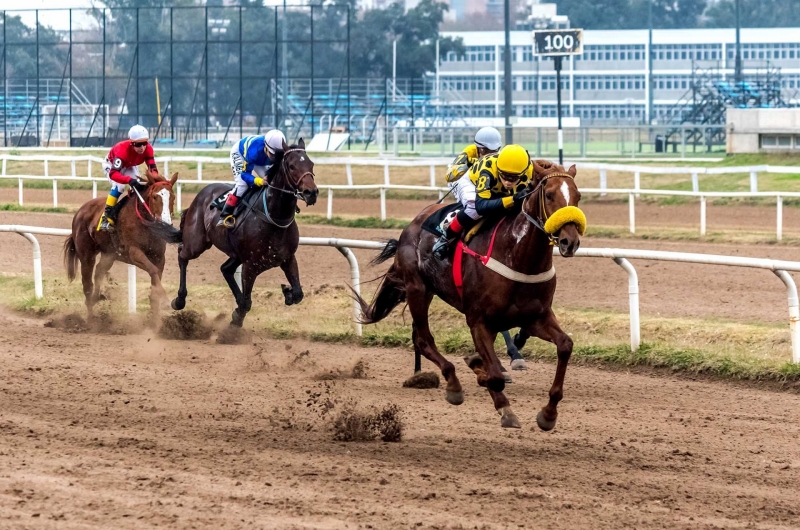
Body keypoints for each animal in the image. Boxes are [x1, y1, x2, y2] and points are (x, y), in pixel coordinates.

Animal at [64, 169, 180, 318]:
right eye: (155, 197)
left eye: (173, 197)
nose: (166, 223)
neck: (146, 224)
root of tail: (80, 211)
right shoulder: (133, 252)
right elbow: (153, 270)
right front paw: (166, 300)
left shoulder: (159, 256)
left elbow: (155, 280)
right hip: (86, 255)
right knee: (87, 285)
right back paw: (90, 318)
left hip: (109, 255)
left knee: (99, 270)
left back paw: (97, 297)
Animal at [164, 138, 318, 326]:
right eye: (291, 166)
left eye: (311, 164)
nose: (311, 192)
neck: (273, 217)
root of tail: (201, 194)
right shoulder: (250, 265)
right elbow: (246, 303)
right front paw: (236, 319)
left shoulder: (287, 258)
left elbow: (297, 294)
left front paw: (287, 292)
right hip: (197, 243)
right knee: (182, 254)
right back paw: (179, 299)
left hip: (235, 253)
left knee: (225, 269)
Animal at [356, 161, 588, 428]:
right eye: (549, 194)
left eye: (578, 196)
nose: (570, 241)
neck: (518, 255)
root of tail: (412, 225)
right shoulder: (478, 320)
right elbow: (495, 377)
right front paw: (505, 408)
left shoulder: (536, 317)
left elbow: (565, 345)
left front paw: (548, 414)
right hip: (417, 289)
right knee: (423, 340)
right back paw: (453, 384)